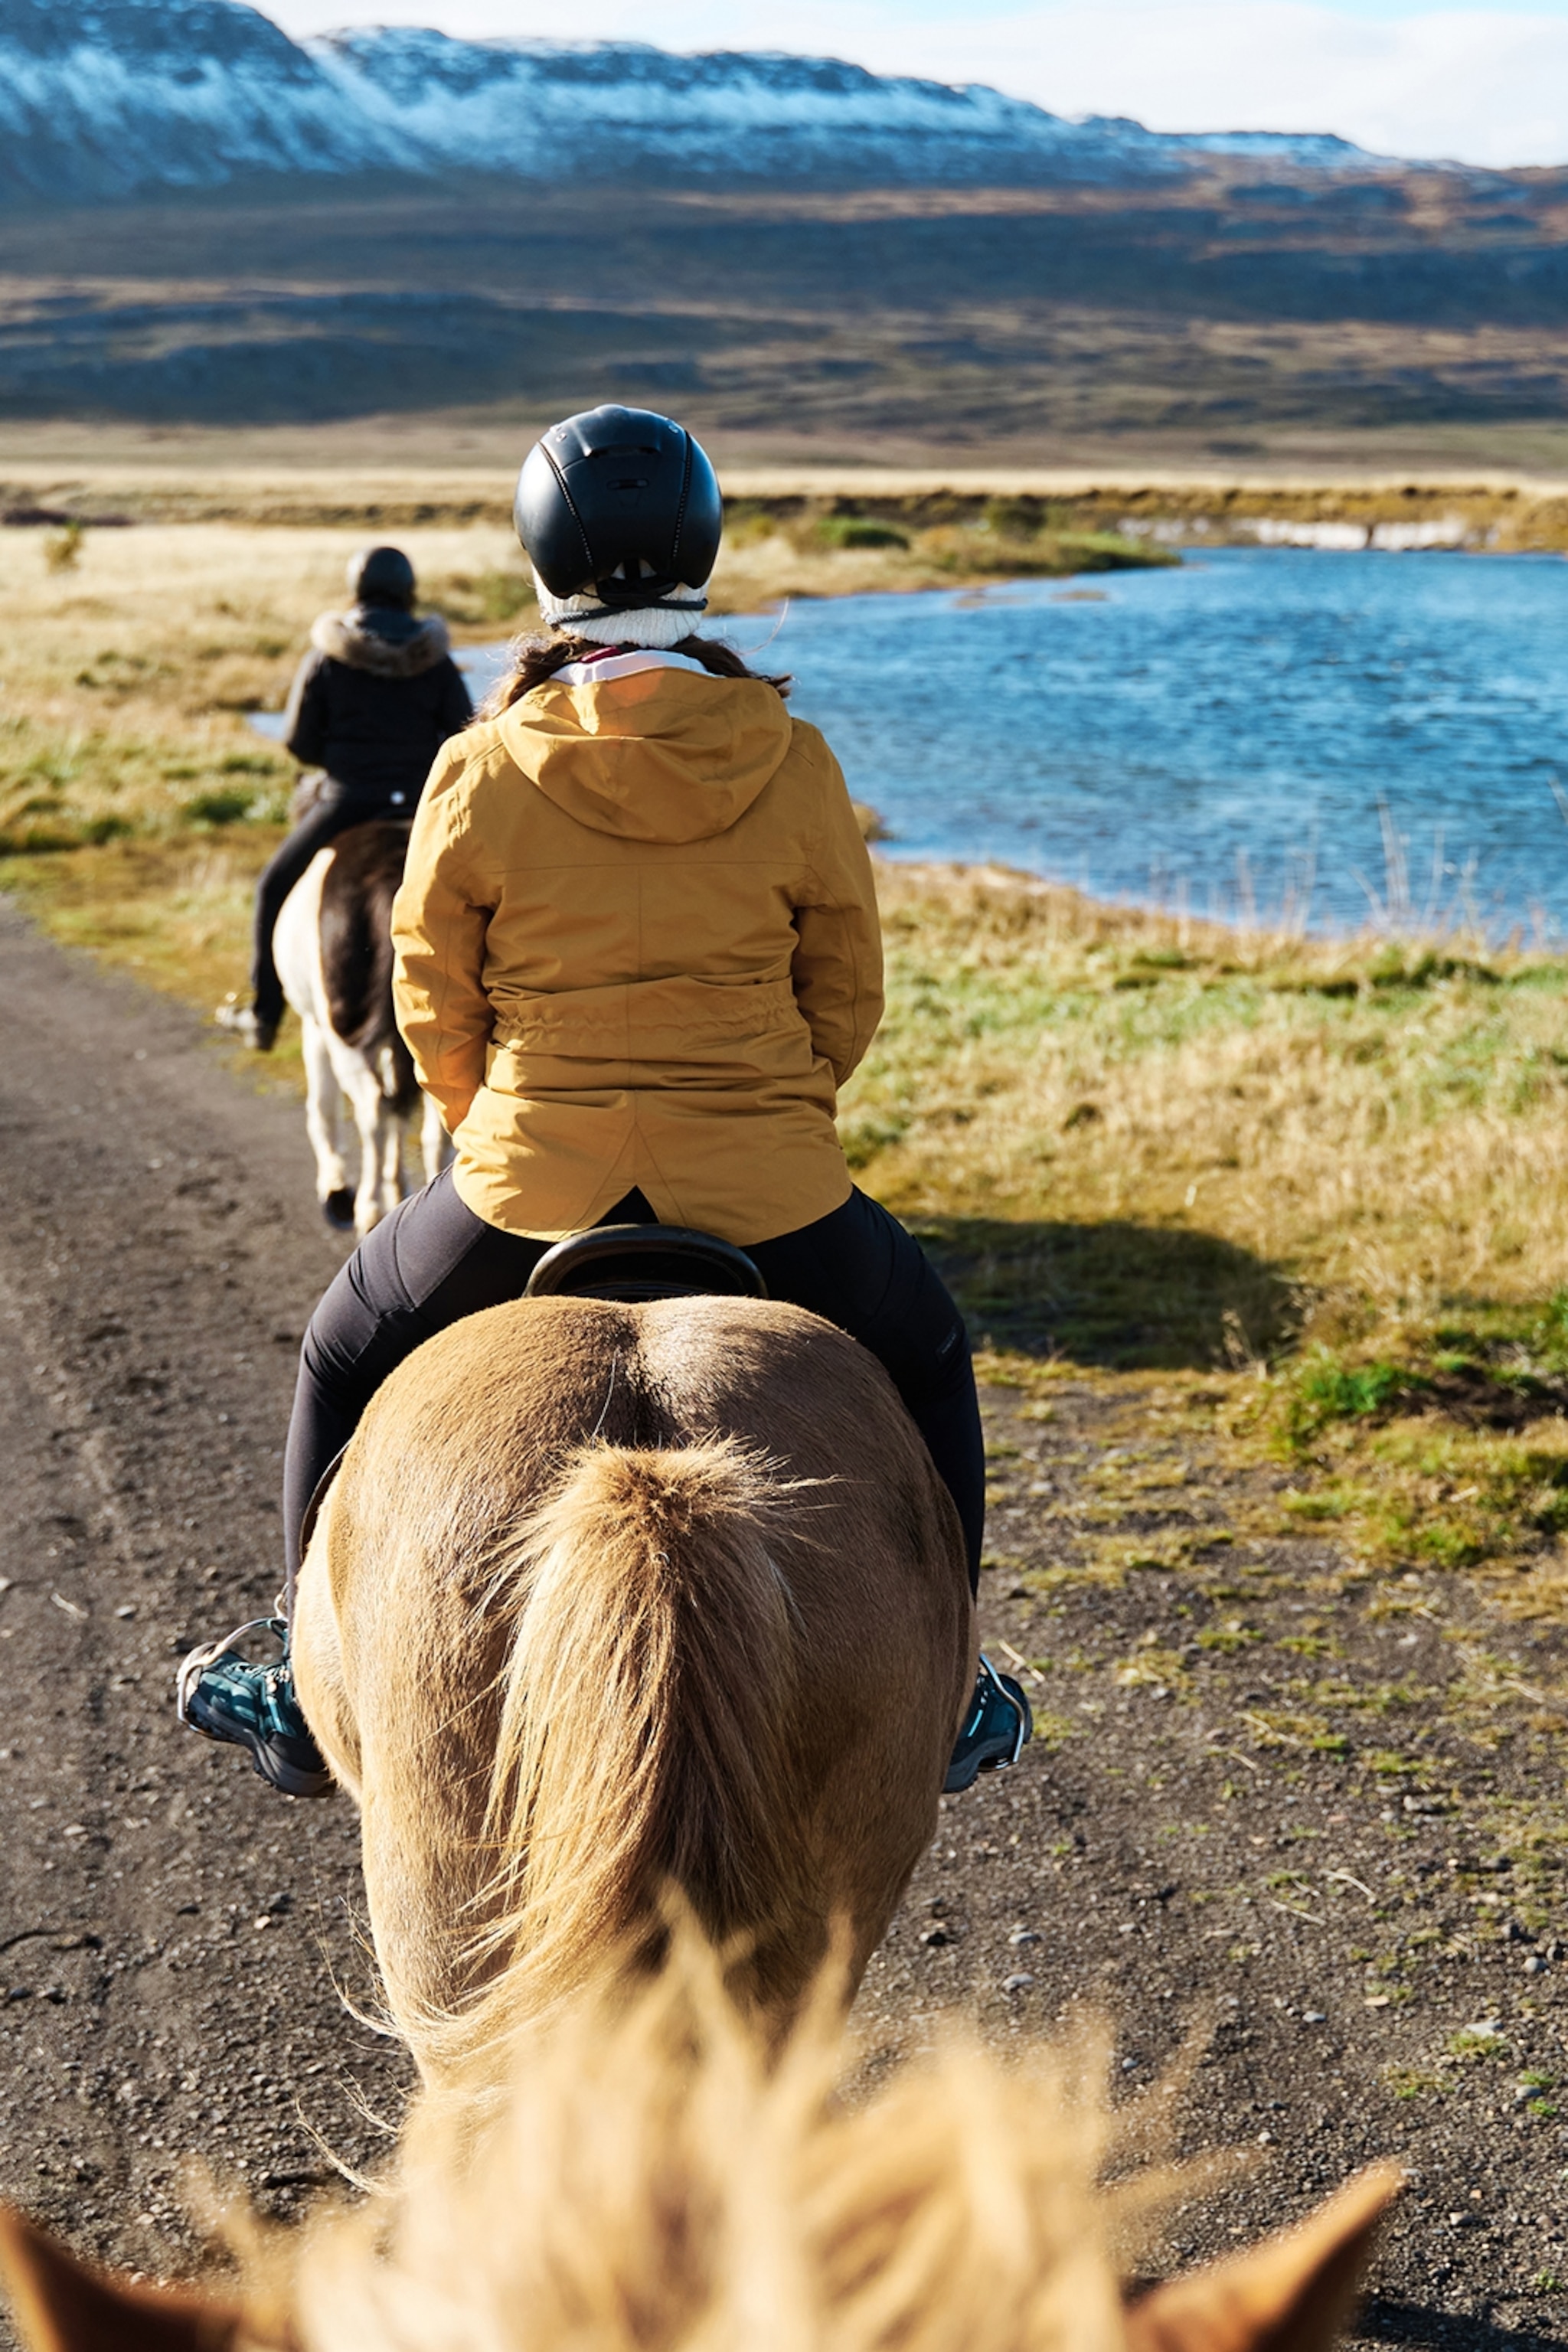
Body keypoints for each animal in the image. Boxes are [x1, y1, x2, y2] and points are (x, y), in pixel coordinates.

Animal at [273, 817, 446, 1239]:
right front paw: (398, 1186)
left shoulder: (314, 1029)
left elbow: (323, 1109)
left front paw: (336, 1187)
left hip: (342, 1035)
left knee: (371, 1109)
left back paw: (368, 1208)